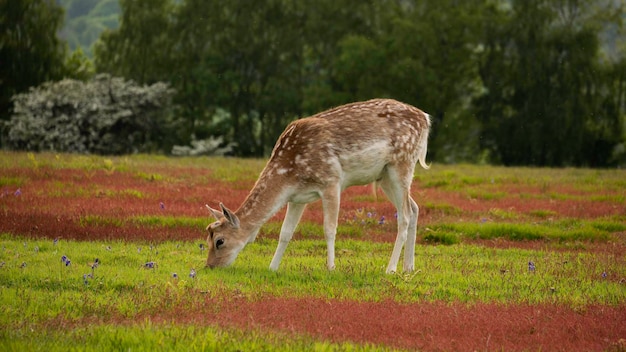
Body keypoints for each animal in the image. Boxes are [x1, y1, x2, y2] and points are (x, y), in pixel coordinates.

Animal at [205, 97, 428, 274]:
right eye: (207, 239)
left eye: (219, 241)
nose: (210, 266)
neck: (289, 172)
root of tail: (425, 118)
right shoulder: (296, 198)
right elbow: (285, 233)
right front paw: (272, 268)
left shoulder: (331, 181)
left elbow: (329, 228)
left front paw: (331, 267)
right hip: (384, 176)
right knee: (414, 208)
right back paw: (409, 267)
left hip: (402, 163)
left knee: (405, 215)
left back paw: (390, 269)